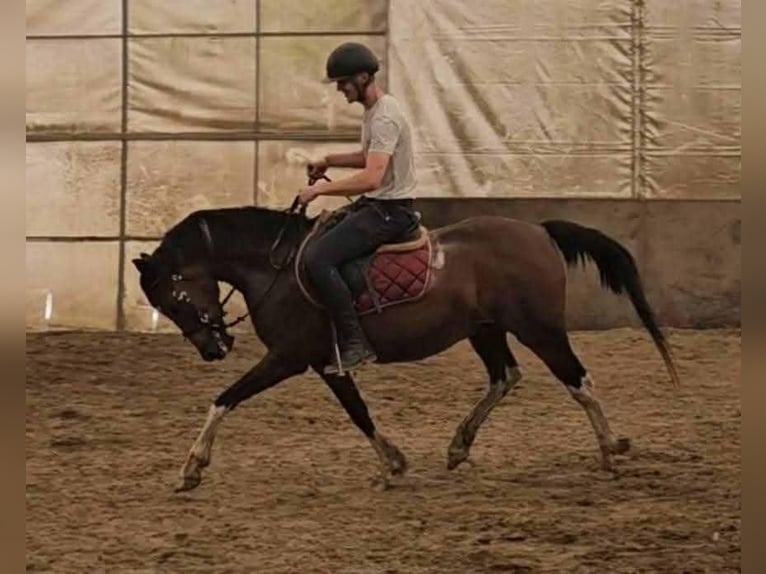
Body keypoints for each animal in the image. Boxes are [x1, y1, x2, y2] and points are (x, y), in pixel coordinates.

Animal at [133, 201, 679, 492]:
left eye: (173, 299)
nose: (212, 350)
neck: (277, 268)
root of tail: (539, 231)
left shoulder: (290, 357)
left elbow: (225, 399)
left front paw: (192, 467)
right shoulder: (326, 363)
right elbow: (359, 412)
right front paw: (393, 461)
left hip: (539, 328)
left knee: (577, 379)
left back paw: (610, 450)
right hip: (485, 329)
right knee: (505, 376)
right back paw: (459, 445)